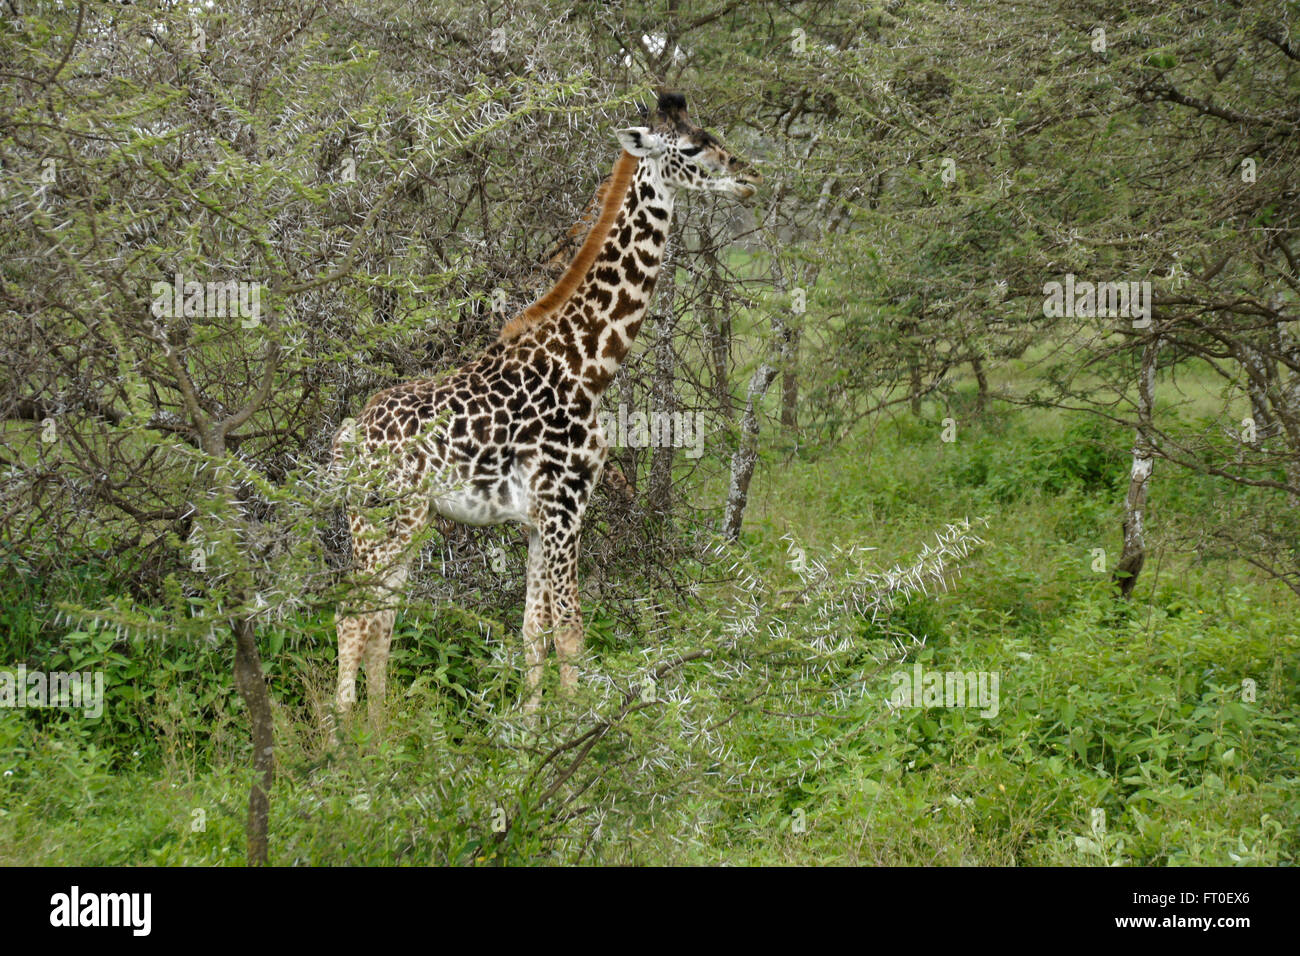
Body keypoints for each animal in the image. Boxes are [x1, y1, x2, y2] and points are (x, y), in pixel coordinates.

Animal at [332, 95, 759, 723]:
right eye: (690, 147)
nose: (750, 176)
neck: (587, 366)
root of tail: (347, 436)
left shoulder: (538, 520)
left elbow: (533, 631)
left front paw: (530, 733)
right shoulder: (565, 507)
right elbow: (572, 631)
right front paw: (576, 728)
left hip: (402, 519)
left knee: (381, 616)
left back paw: (381, 733)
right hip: (386, 515)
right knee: (354, 615)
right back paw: (344, 739)